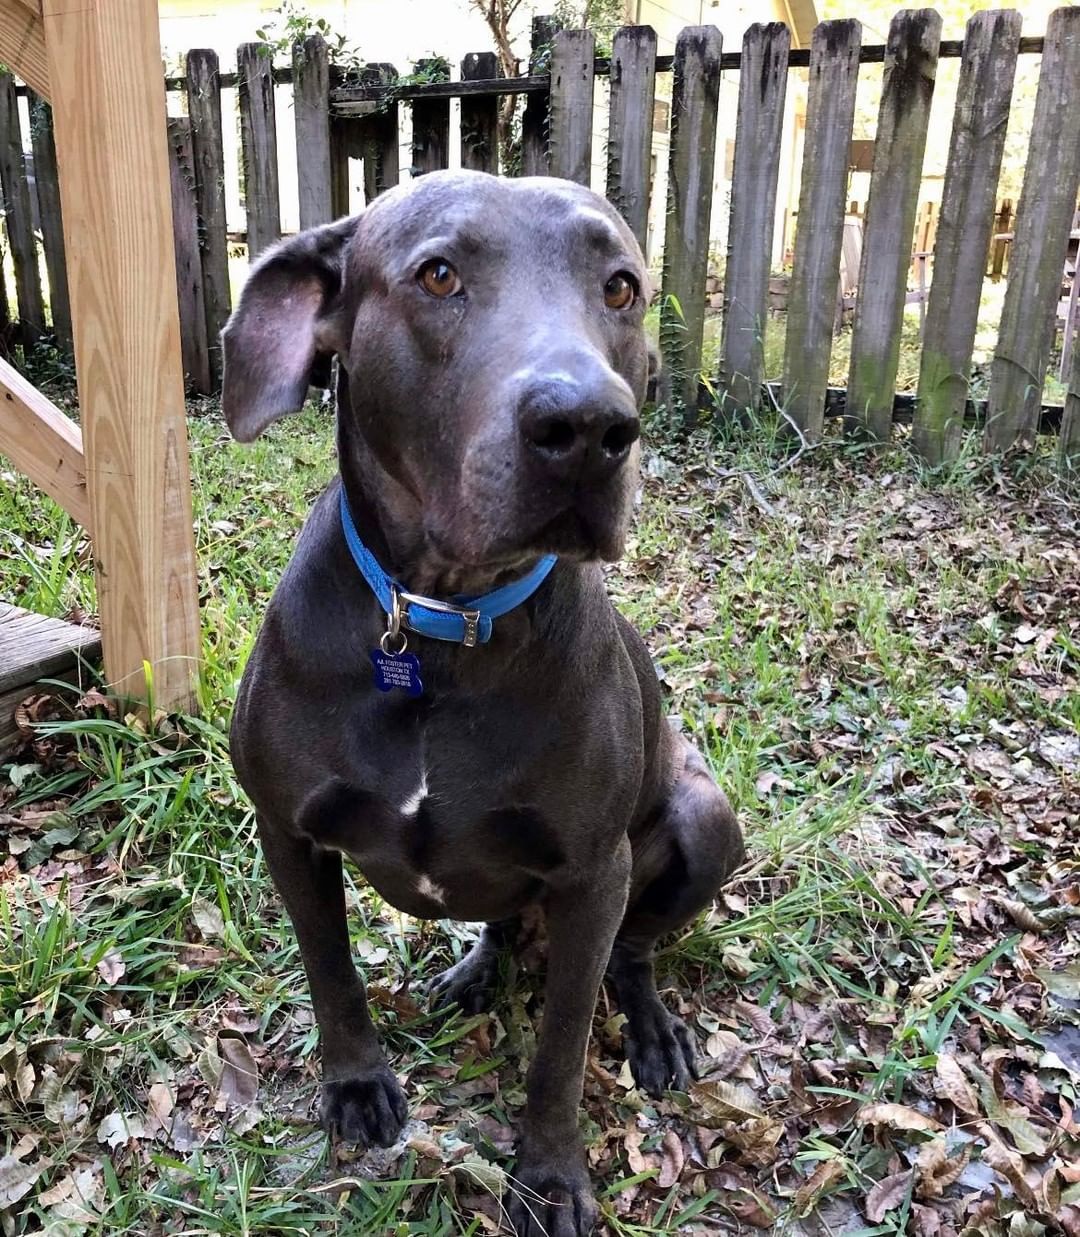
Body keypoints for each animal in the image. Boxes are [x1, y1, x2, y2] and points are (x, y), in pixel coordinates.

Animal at [218, 171, 742, 1237]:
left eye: (620, 287)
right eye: (439, 275)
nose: (588, 429)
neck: (437, 629)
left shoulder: (591, 873)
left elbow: (562, 1044)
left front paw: (551, 1175)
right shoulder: (286, 831)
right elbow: (331, 969)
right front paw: (357, 1085)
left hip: (704, 819)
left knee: (634, 952)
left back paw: (653, 1027)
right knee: (506, 923)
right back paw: (477, 971)